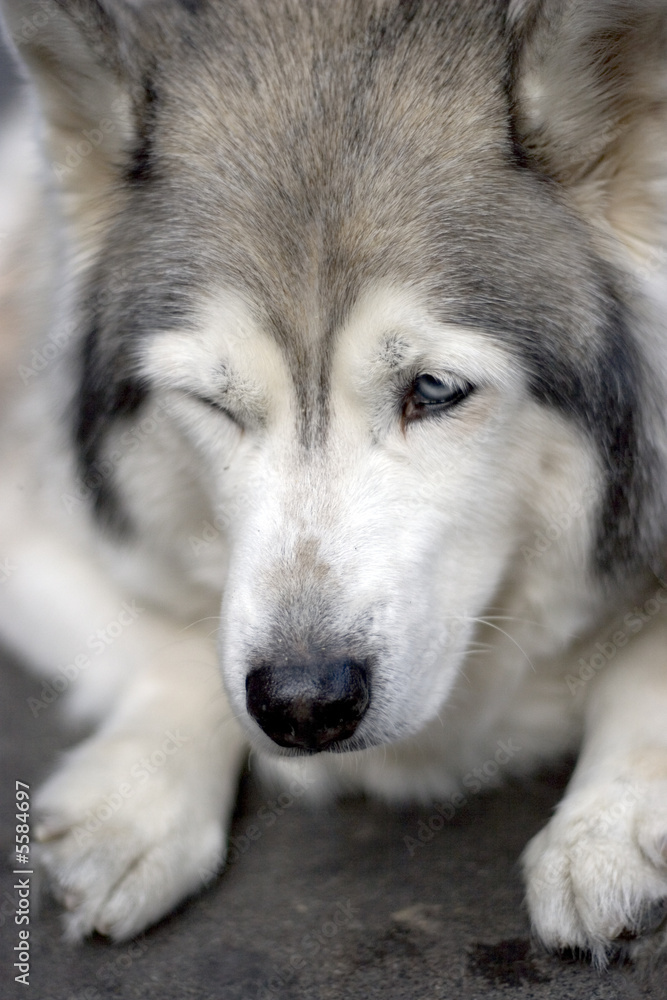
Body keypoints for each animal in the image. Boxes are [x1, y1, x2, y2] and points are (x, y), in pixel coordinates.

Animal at [1, 0, 667, 968]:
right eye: (215, 401)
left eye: (433, 388)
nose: (303, 703)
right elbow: (174, 632)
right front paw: (137, 799)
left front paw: (610, 824)